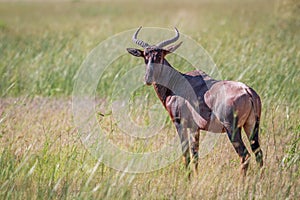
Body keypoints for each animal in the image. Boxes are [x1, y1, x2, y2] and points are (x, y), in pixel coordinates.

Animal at [126, 27, 262, 177]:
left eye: (160, 56)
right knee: (258, 154)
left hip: (231, 129)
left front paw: (187, 178)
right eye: (145, 56)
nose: (148, 79)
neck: (179, 82)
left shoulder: (180, 123)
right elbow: (195, 155)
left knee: (245, 155)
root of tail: (247, 91)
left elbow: (185, 153)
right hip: (251, 126)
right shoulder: (194, 128)